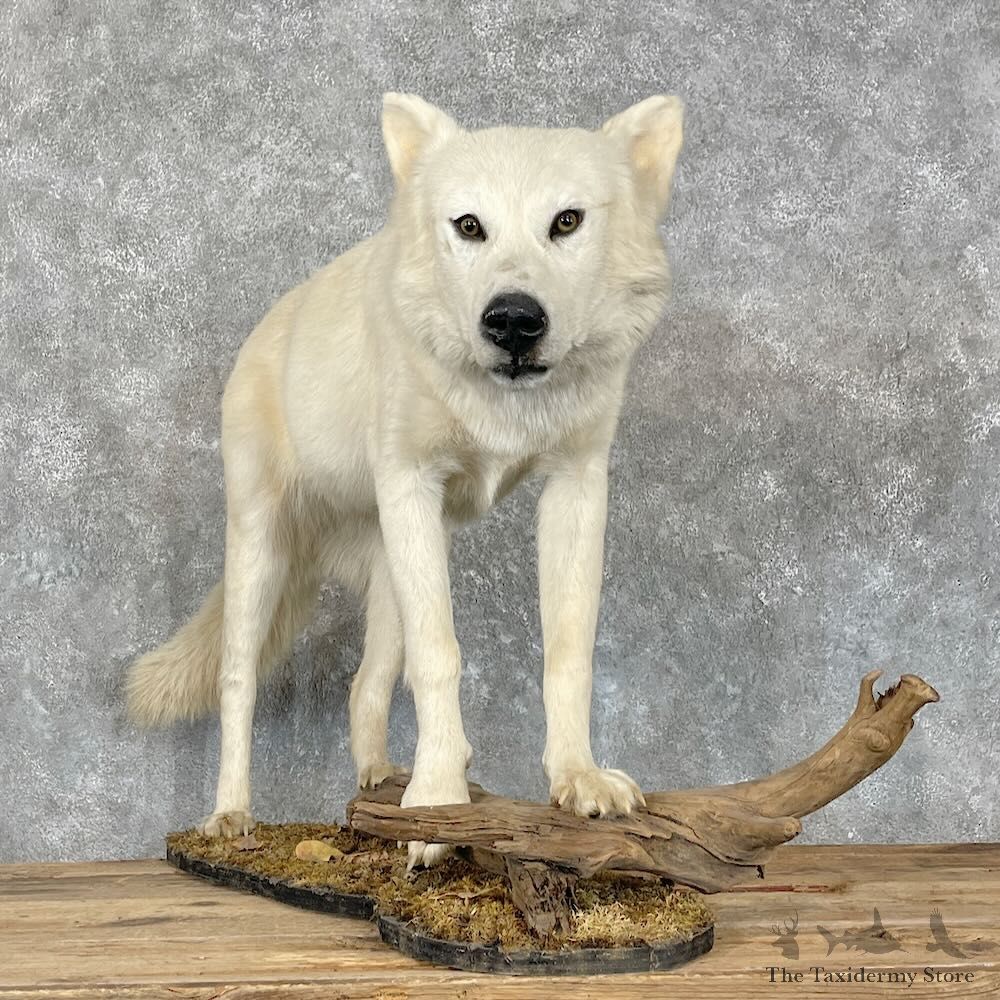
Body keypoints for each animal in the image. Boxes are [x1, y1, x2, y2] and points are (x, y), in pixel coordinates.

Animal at [126, 92, 684, 867]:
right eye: (469, 226)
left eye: (566, 221)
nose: (513, 320)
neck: (501, 405)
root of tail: (266, 325)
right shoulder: (412, 485)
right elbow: (440, 657)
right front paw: (438, 809)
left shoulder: (575, 488)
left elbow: (567, 651)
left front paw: (577, 780)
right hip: (261, 555)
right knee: (239, 682)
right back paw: (231, 816)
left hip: (396, 563)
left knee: (365, 685)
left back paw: (378, 784)